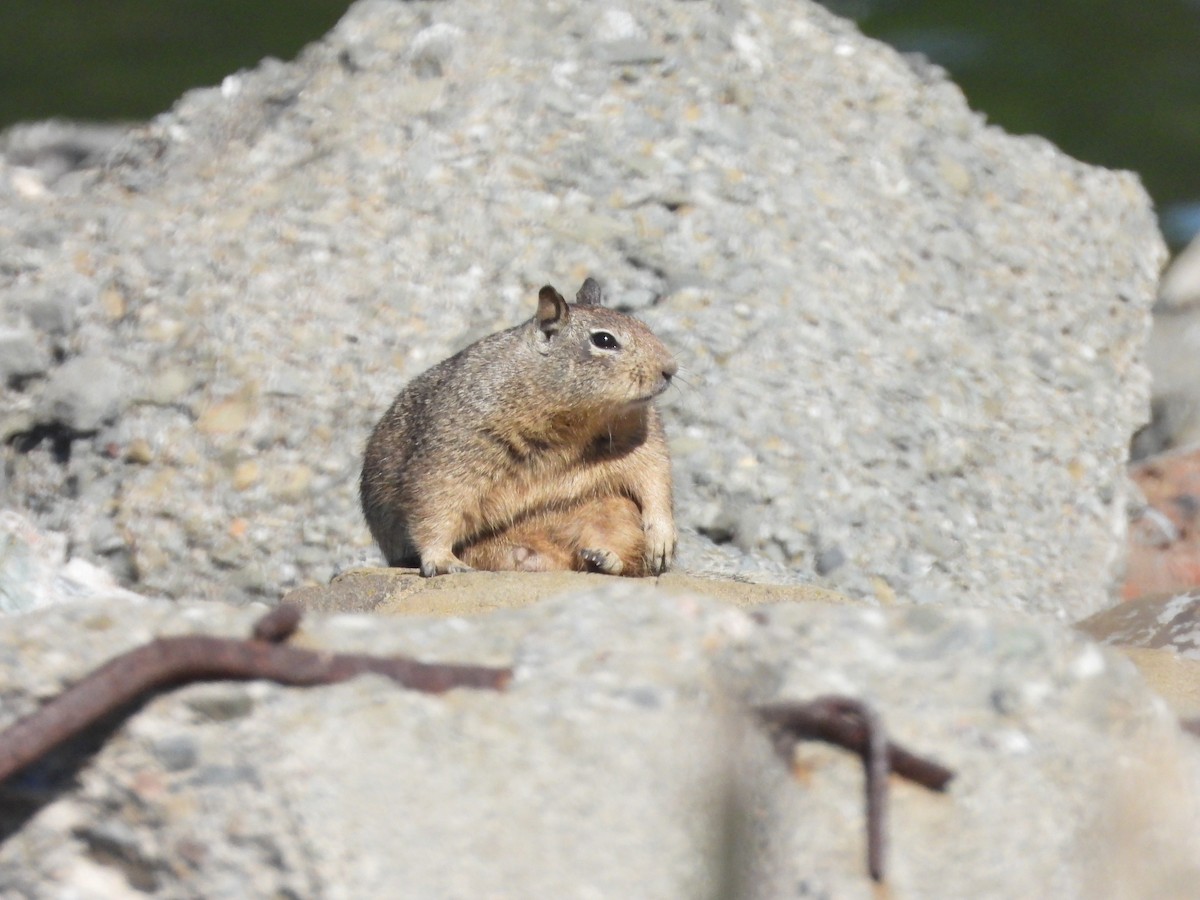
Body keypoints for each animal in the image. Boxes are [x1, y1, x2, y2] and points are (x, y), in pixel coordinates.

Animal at [360, 277, 678, 577]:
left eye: (644, 325)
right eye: (604, 340)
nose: (671, 369)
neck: (575, 419)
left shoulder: (641, 435)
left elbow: (655, 476)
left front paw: (662, 540)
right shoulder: (456, 449)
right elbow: (435, 504)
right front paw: (443, 561)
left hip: (614, 512)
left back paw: (603, 558)